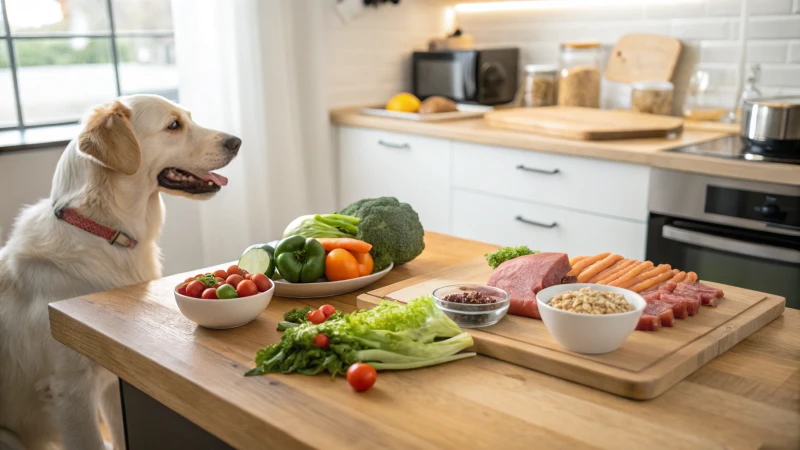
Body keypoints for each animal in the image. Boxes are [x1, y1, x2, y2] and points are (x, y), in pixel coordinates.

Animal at [0, 93, 241, 448]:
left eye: (189, 117)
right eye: (173, 125)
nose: (237, 141)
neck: (105, 232)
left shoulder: (112, 377)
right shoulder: (70, 389)